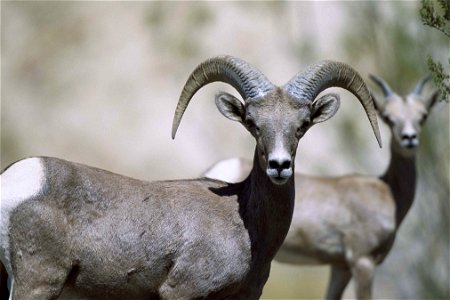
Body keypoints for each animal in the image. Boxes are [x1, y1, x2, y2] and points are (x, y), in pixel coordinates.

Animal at [0, 55, 382, 298]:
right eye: (252, 123)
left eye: (302, 125)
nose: (279, 165)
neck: (246, 226)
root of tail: (15, 183)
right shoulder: (181, 292)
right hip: (38, 283)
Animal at [204, 74, 440, 298]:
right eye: (389, 118)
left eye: (423, 116)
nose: (409, 139)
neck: (387, 191)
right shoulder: (362, 262)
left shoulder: (340, 267)